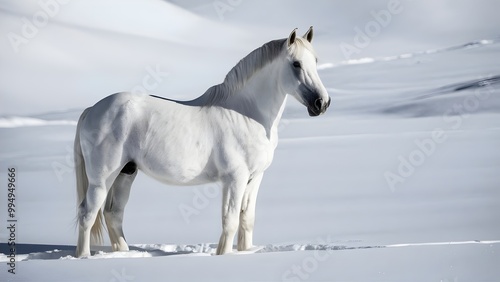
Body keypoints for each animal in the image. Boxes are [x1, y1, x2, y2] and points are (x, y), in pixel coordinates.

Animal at [74, 27, 330, 258]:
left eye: (315, 60)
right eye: (296, 63)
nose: (322, 103)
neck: (247, 114)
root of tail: (91, 110)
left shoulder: (255, 177)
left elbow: (246, 219)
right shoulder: (234, 179)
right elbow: (230, 221)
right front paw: (223, 255)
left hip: (126, 173)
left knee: (113, 213)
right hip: (102, 179)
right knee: (88, 214)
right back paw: (84, 257)